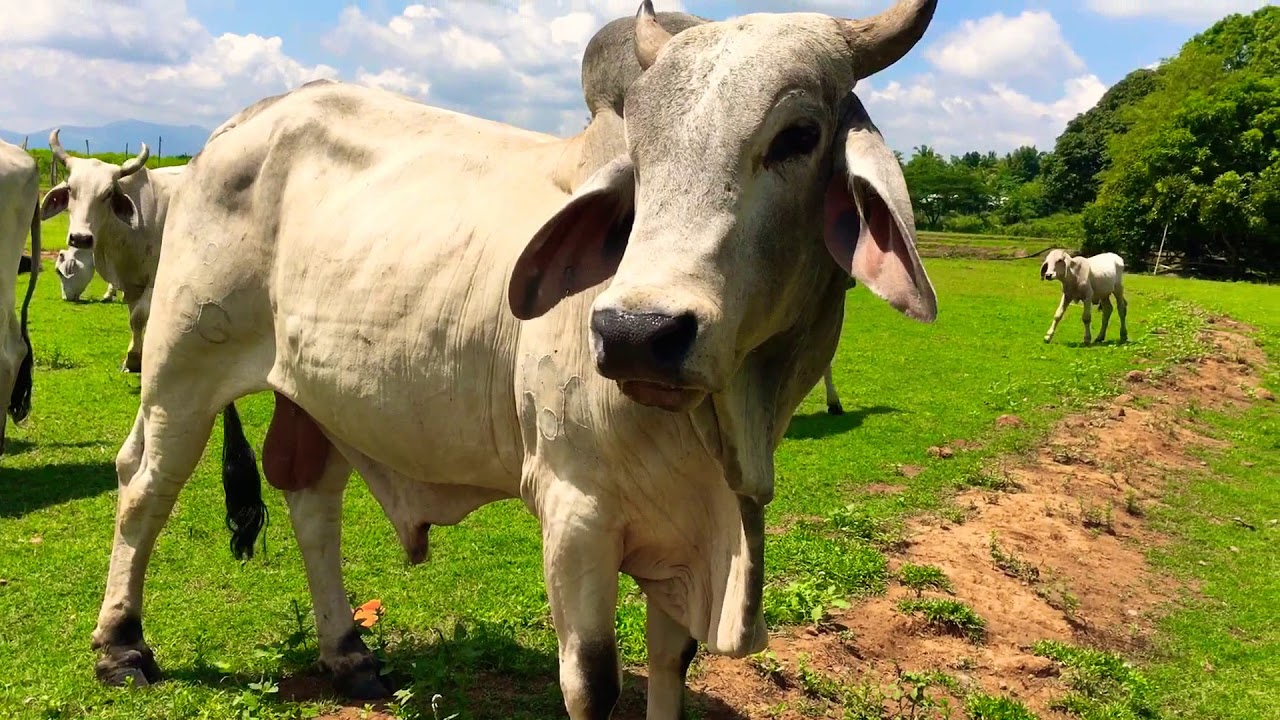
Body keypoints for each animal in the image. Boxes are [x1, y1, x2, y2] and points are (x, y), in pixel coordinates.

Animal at [89, 3, 938, 719]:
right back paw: (121, 648)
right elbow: (593, 683)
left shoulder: (684, 527)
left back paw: (348, 655)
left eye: (799, 135)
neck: (727, 430)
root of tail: (241, 123)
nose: (636, 333)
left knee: (310, 498)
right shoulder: (574, 509)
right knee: (145, 485)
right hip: (181, 368)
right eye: (642, 152)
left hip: (317, 393)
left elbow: (672, 662)